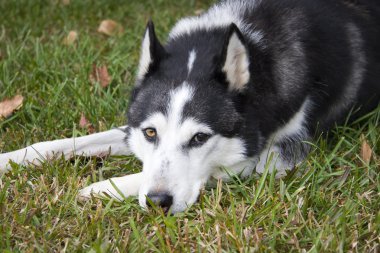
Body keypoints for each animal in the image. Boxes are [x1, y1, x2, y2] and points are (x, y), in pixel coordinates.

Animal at [0, 0, 380, 213]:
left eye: (199, 138)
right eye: (151, 132)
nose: (158, 203)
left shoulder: (282, 155)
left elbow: (213, 168)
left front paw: (102, 188)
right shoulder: (133, 128)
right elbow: (65, 143)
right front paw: (11, 159)